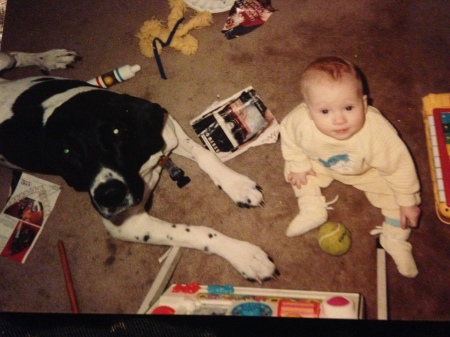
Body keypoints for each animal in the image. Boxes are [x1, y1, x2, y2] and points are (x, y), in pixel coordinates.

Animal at [0, 49, 278, 280]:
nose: (109, 196)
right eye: (68, 153)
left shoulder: (167, 131)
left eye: (116, 132)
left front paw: (236, 184)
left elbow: (205, 155)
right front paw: (244, 254)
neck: (142, 166)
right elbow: (196, 232)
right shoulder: (127, 224)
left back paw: (51, 58)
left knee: (13, 55)